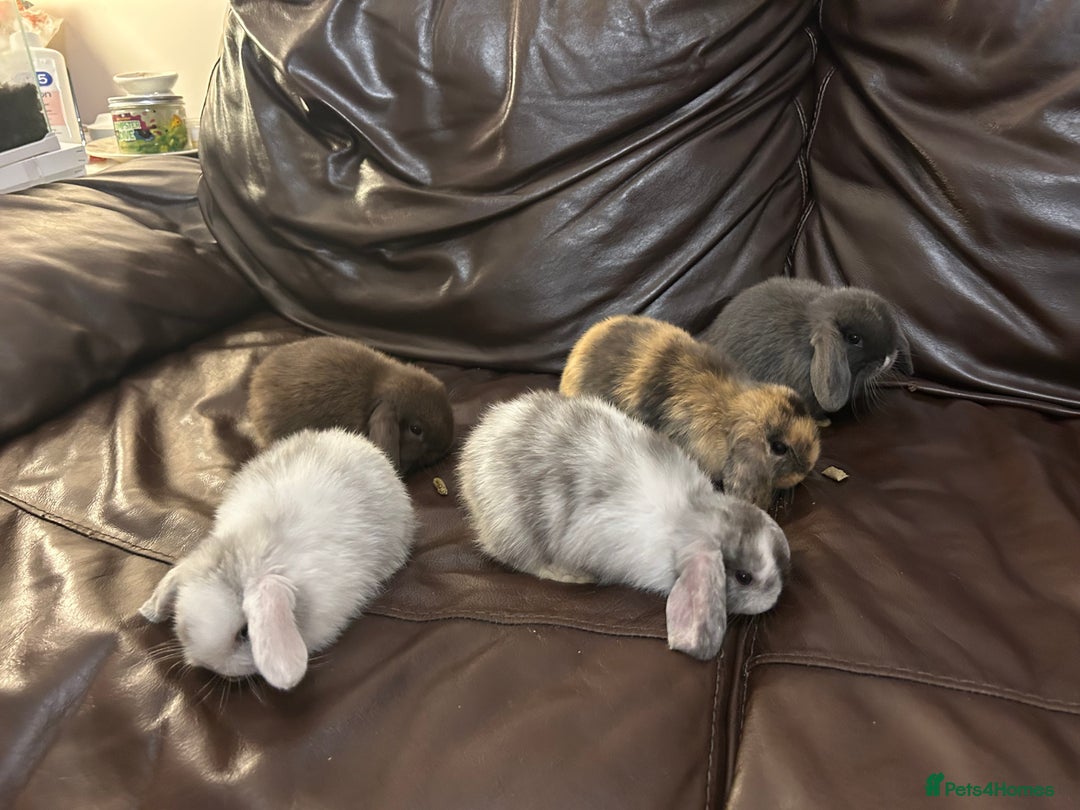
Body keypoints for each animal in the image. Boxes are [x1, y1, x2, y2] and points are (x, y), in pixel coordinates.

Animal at [458, 390, 790, 660]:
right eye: (744, 577)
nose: (775, 597)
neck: (688, 516)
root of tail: (470, 462)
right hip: (517, 529)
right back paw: (570, 575)